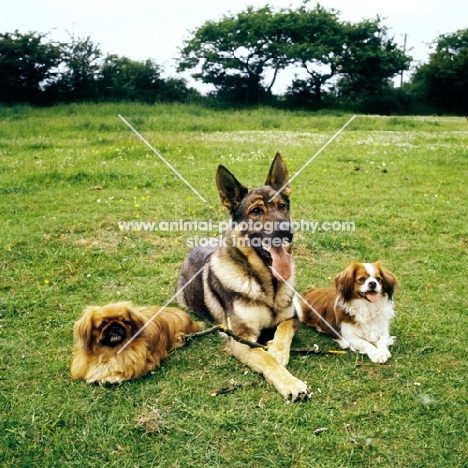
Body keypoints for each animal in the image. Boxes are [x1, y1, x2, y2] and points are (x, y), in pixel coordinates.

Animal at [177, 154, 308, 402]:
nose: (287, 232)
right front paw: (291, 383)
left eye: (282, 206)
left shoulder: (292, 317)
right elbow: (267, 359)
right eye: (256, 211)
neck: (268, 286)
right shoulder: (241, 340)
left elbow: (283, 330)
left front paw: (277, 348)